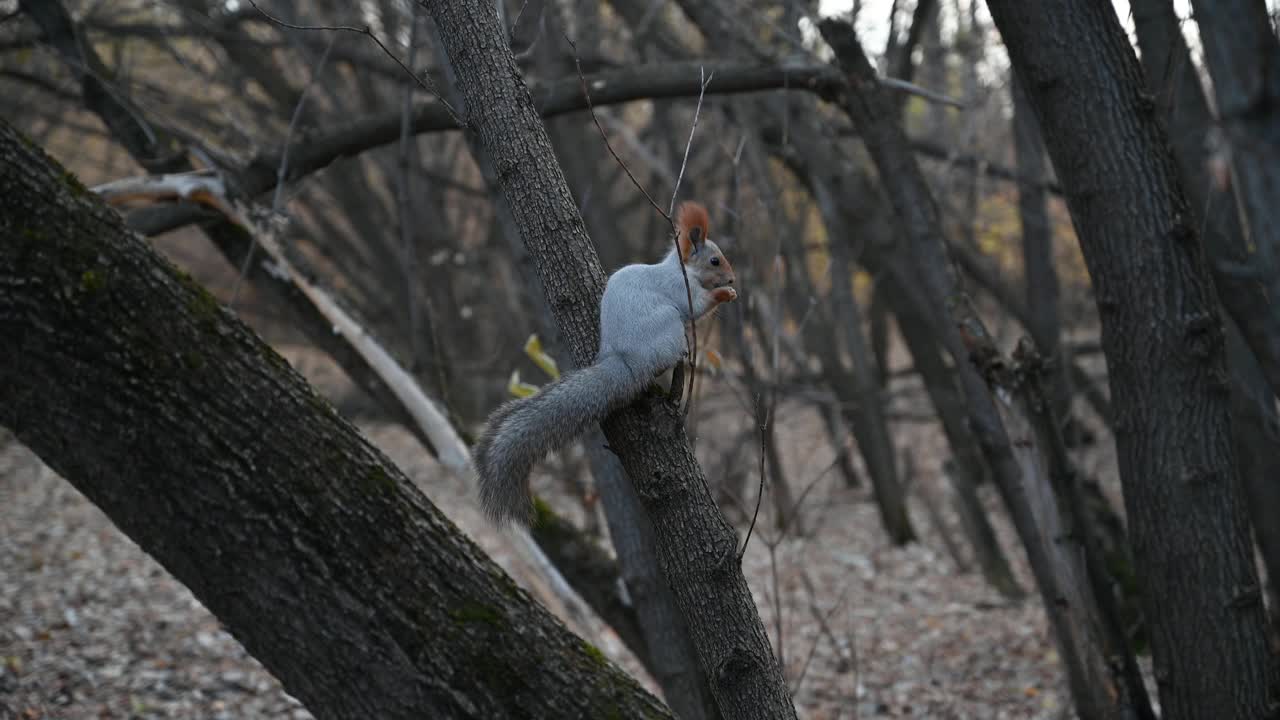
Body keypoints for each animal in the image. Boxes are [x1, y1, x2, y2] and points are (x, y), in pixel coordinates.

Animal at [476, 198, 742, 525]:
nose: (732, 279)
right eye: (715, 261)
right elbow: (698, 307)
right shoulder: (681, 289)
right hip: (669, 325)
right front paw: (725, 293)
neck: (681, 269)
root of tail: (628, 362)